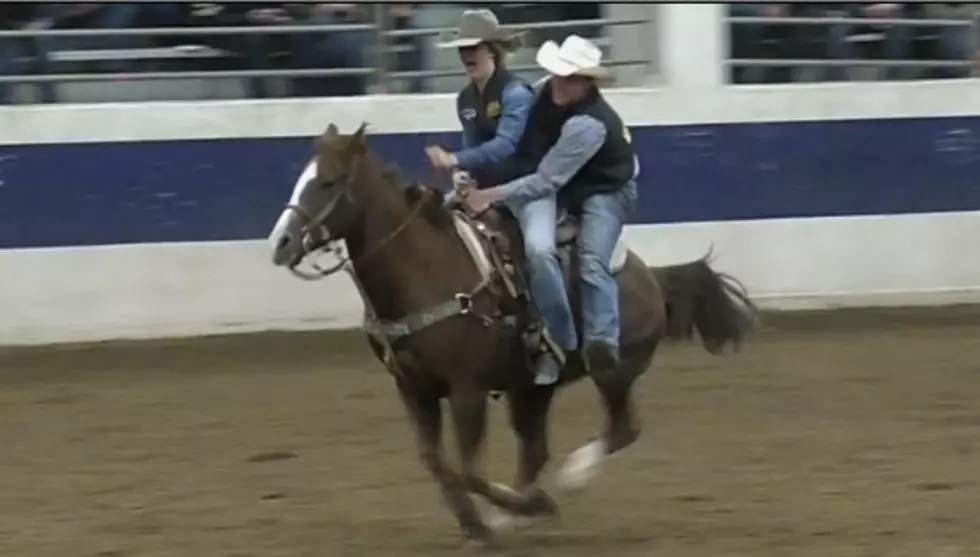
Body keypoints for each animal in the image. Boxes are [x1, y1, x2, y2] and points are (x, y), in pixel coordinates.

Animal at [268, 122, 756, 548]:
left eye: (329, 182)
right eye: (301, 178)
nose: (281, 243)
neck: (424, 272)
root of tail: (650, 275)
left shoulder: (467, 389)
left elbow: (469, 469)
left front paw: (521, 510)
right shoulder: (413, 388)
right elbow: (437, 463)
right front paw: (479, 524)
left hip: (614, 370)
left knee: (622, 428)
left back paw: (567, 480)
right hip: (532, 387)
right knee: (535, 450)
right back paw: (516, 510)